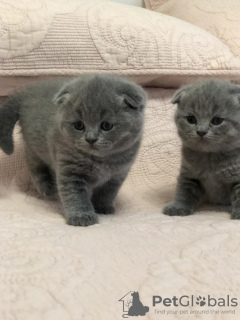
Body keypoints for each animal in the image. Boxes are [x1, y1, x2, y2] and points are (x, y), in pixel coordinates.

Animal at [0, 74, 146, 226]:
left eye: (106, 125)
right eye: (78, 125)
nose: (91, 139)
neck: (101, 160)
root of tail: (27, 92)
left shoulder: (117, 175)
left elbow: (107, 193)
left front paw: (102, 207)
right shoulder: (70, 170)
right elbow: (75, 195)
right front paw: (82, 216)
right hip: (35, 145)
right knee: (34, 162)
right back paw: (47, 187)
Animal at [164, 80, 240, 220]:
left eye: (217, 120)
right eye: (191, 119)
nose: (201, 131)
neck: (210, 156)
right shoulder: (189, 174)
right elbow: (184, 191)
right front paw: (177, 207)